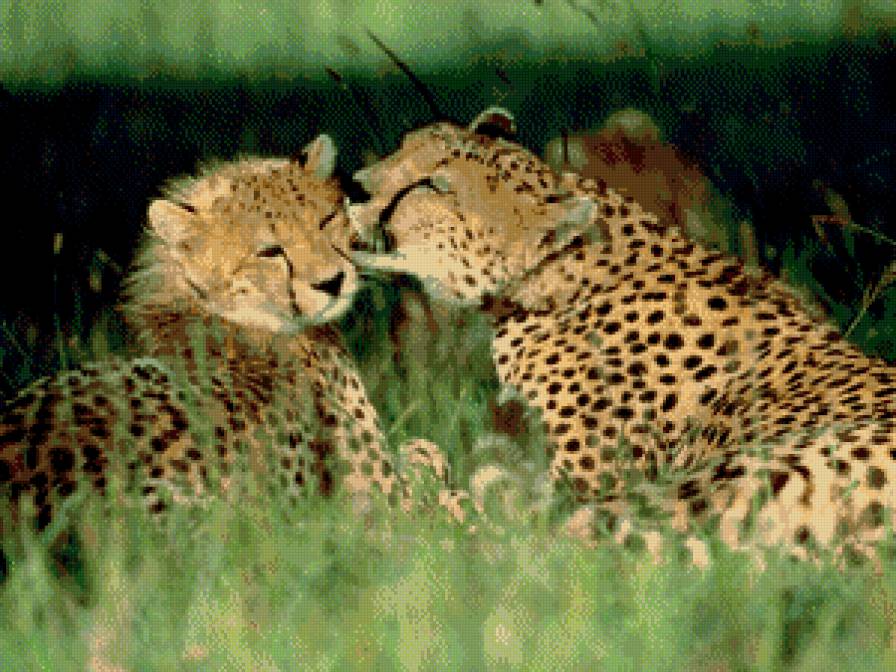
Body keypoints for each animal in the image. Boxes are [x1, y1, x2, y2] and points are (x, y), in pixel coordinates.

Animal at [347, 107, 896, 564]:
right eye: (405, 144)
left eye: (434, 185)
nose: (353, 186)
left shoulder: (584, 483)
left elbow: (495, 510)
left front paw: (420, 463)